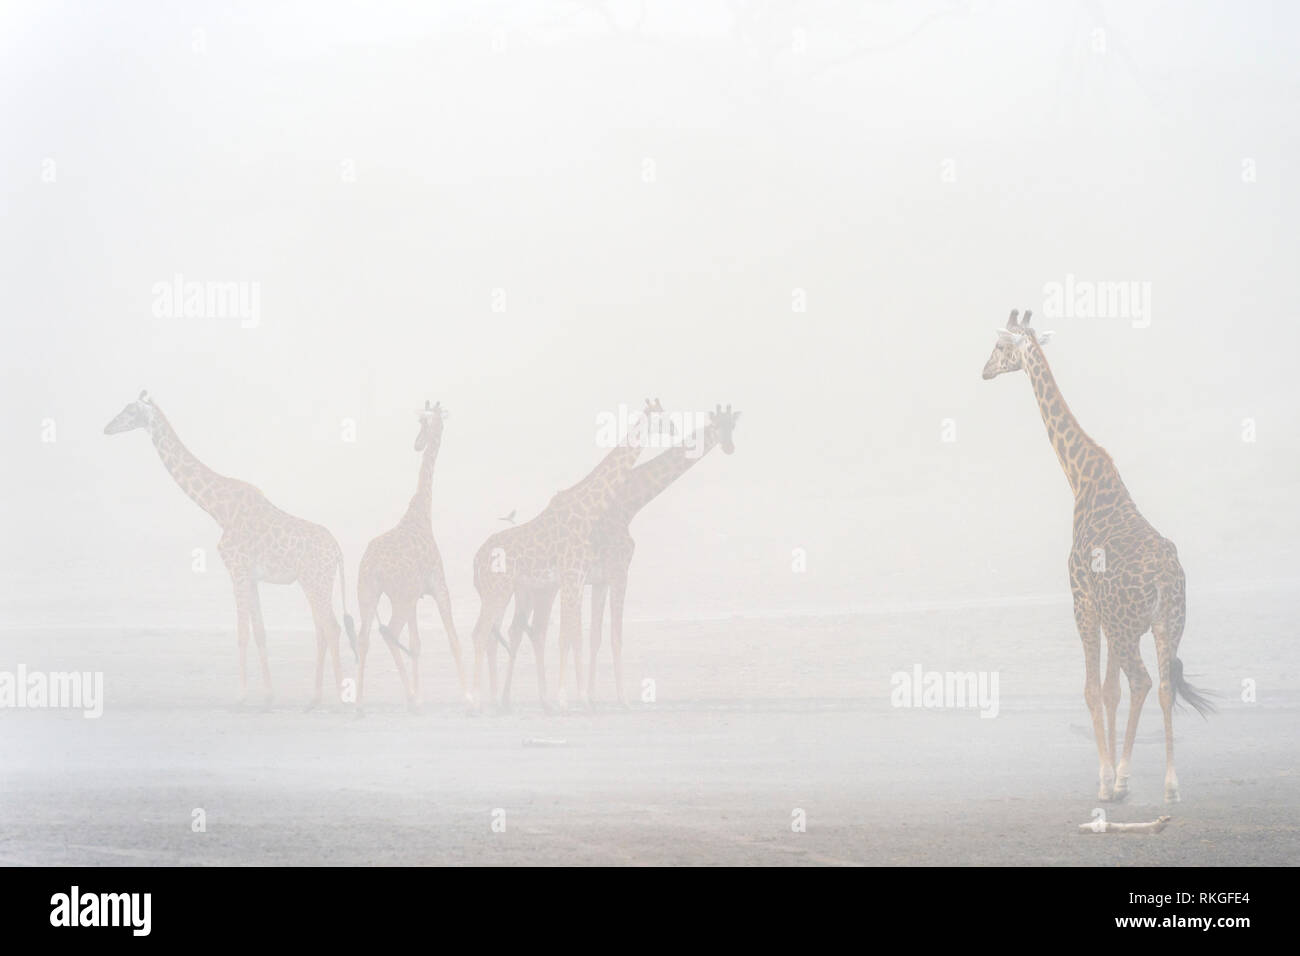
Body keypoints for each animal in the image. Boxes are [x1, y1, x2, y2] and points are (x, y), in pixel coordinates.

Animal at [104, 392, 357, 706]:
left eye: (129, 410)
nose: (107, 428)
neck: (218, 509)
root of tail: (338, 551)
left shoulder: (236, 570)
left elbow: (242, 633)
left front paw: (241, 695)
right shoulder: (251, 576)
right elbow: (260, 632)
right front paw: (268, 695)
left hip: (316, 580)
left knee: (331, 628)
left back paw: (340, 698)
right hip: (312, 582)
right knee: (322, 629)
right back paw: (315, 696)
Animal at [354, 401, 466, 712]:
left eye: (423, 423)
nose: (418, 443)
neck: (422, 512)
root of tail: (373, 566)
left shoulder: (417, 596)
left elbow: (417, 643)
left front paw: (421, 694)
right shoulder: (438, 586)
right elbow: (453, 639)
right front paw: (470, 695)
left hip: (368, 594)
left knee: (364, 638)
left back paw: (360, 700)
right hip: (398, 598)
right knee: (389, 632)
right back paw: (406, 697)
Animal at [468, 402, 653, 713]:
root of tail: (476, 559)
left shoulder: (579, 580)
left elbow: (574, 633)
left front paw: (573, 697)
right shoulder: (579, 577)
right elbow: (572, 634)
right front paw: (574, 698)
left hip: (503, 593)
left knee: (495, 632)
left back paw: (493, 699)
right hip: (501, 591)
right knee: (485, 634)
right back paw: (480, 701)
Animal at [500, 404, 741, 709]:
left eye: (733, 425)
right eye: (718, 425)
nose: (729, 447)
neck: (628, 503)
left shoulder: (600, 579)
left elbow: (595, 636)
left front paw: (591, 695)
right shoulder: (618, 571)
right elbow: (612, 636)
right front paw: (620, 698)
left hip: (536, 589)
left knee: (524, 630)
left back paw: (513, 698)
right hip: (542, 589)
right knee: (528, 630)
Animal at [982, 310, 1213, 802]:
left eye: (999, 347)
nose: (984, 371)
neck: (1081, 477)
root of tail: (1165, 576)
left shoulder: (1083, 600)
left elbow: (1092, 689)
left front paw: (1106, 780)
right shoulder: (1108, 615)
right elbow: (1109, 691)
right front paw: (1113, 776)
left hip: (1129, 626)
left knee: (1142, 680)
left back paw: (1123, 780)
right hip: (1169, 622)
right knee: (1164, 685)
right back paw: (1170, 785)